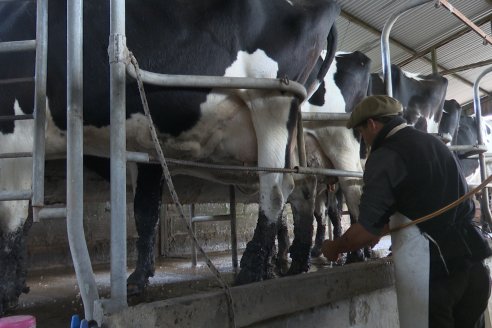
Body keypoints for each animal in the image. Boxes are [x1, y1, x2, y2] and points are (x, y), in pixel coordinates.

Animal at [0, 0, 340, 314]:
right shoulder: (146, 147)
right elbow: (144, 210)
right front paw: (137, 279)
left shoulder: (14, 130)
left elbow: (12, 212)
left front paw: (6, 289)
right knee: (301, 186)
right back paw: (294, 262)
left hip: (271, 101)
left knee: (276, 187)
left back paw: (252, 269)